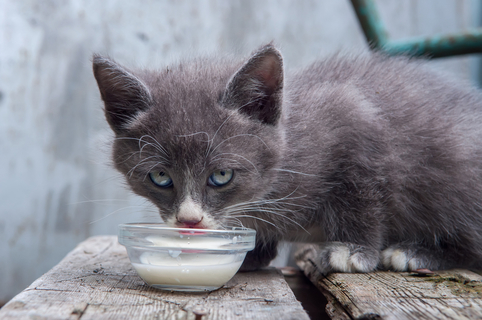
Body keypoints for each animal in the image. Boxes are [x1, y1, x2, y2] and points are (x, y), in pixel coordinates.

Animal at [93, 43, 482, 272]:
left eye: (221, 175)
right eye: (160, 177)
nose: (189, 221)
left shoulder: (357, 121)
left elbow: (362, 194)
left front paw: (350, 249)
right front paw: (251, 253)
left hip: (456, 167)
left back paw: (417, 252)